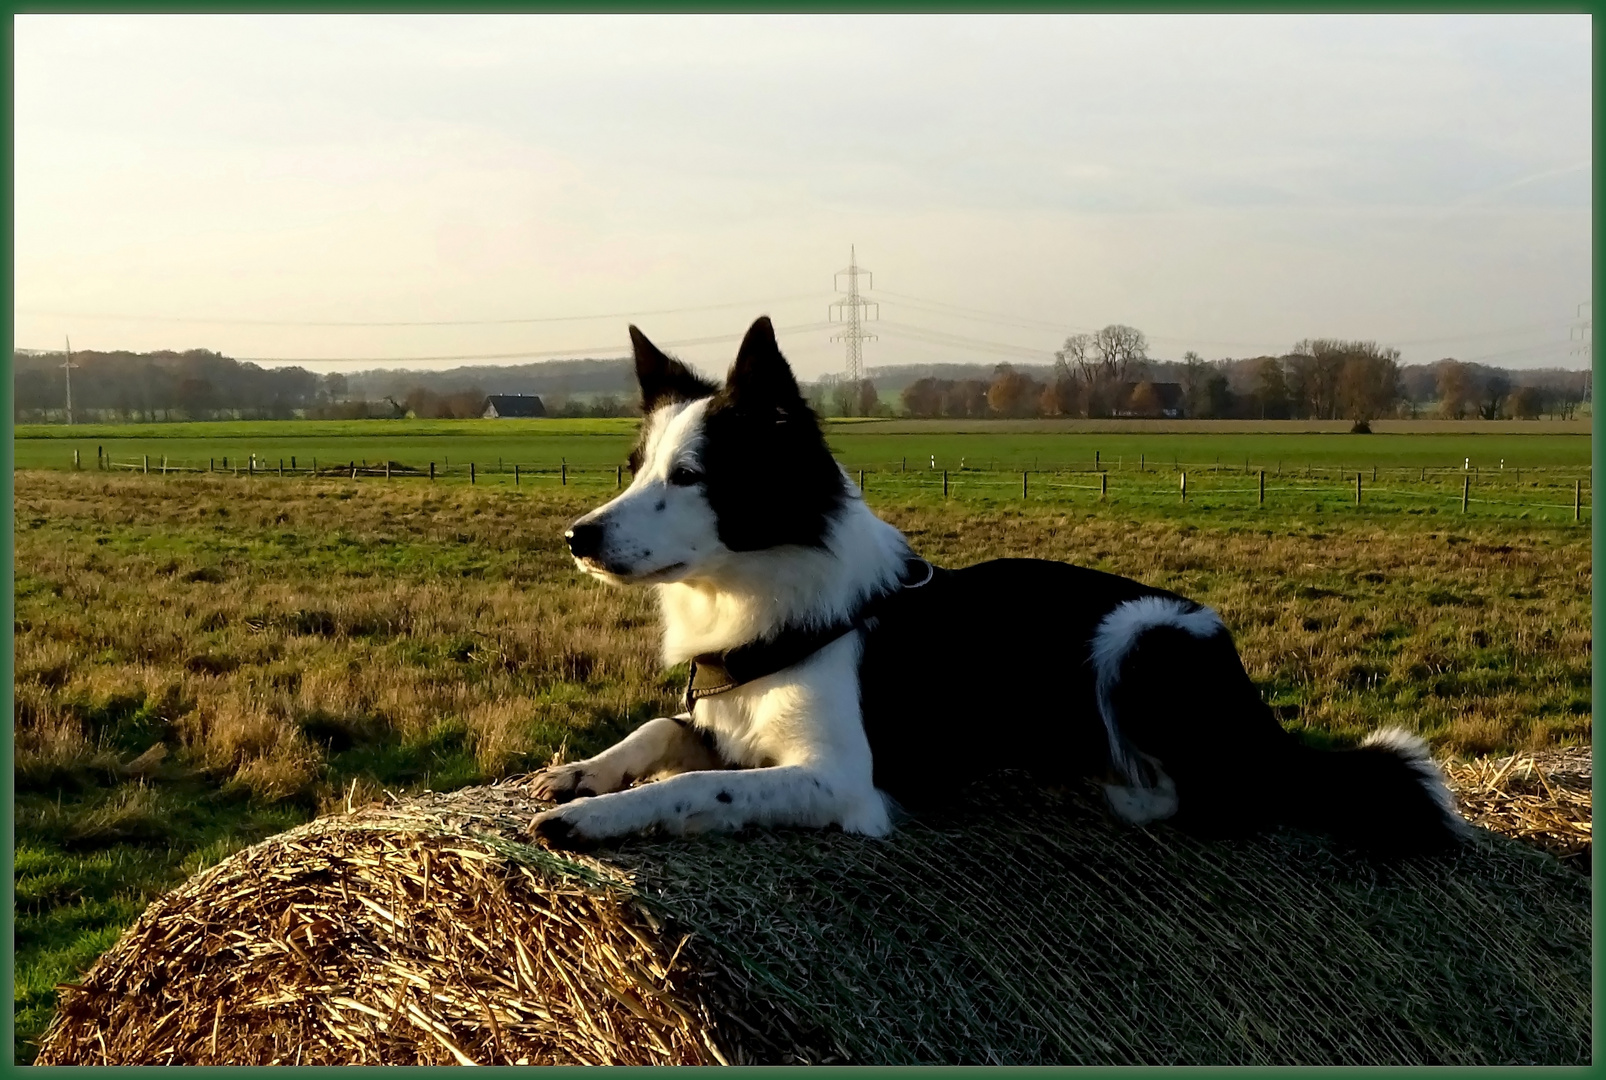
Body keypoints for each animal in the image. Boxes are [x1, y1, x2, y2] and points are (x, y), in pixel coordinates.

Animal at [529, 316, 1471, 855]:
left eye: (689, 476)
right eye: (635, 467)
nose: (577, 538)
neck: (765, 592)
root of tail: (1267, 725)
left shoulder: (841, 780)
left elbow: (694, 788)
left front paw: (595, 820)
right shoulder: (724, 724)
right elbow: (661, 729)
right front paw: (580, 774)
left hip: (1139, 637)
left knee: (1217, 797)